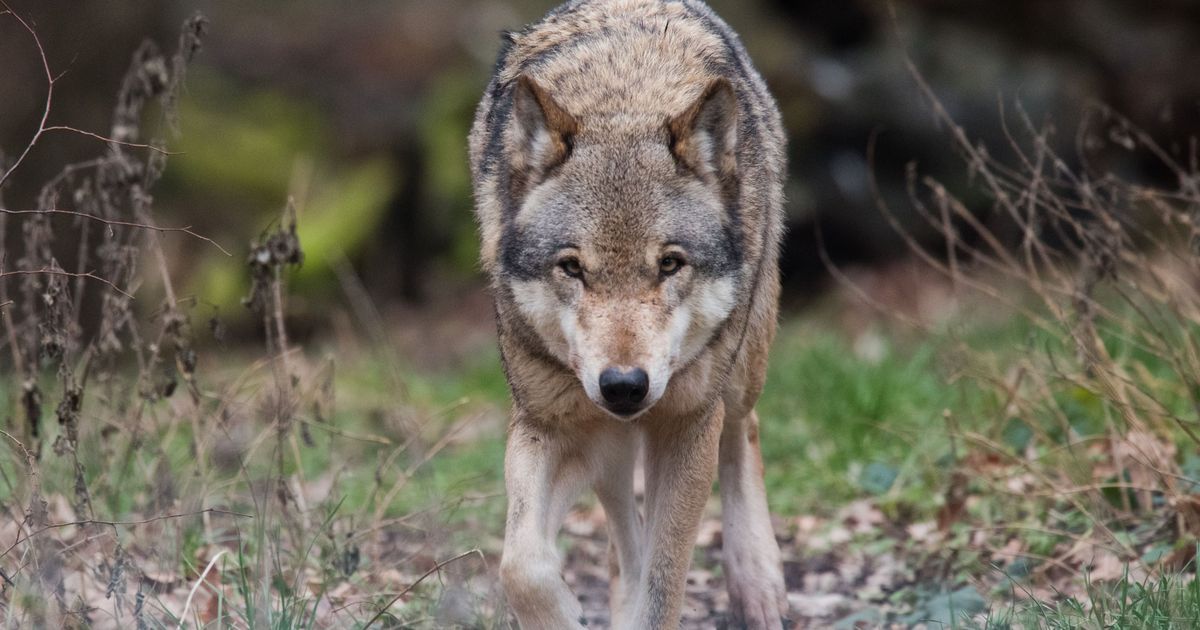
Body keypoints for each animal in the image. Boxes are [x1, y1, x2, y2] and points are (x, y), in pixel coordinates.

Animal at [468, 0, 788, 627]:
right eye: (572, 267)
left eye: (669, 264)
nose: (623, 385)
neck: (623, 100)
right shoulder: (548, 422)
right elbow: (521, 564)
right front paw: (563, 612)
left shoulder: (687, 424)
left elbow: (663, 588)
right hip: (607, 444)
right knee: (623, 528)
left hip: (739, 371)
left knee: (745, 430)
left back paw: (759, 585)